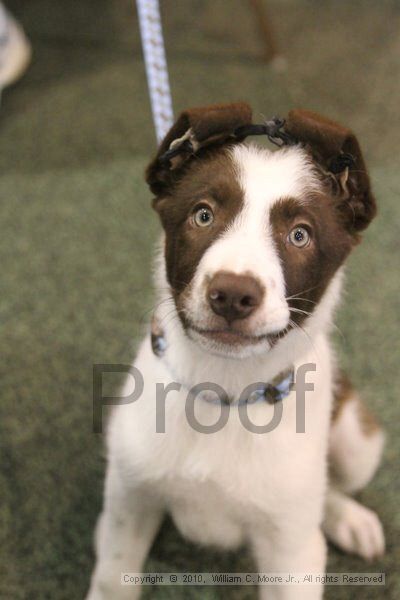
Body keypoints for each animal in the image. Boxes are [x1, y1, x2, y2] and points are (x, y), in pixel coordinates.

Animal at [86, 104, 384, 600]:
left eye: (300, 235)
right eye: (203, 215)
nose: (231, 295)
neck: (223, 390)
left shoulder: (290, 556)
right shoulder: (130, 498)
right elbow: (112, 577)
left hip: (360, 441)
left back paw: (348, 518)